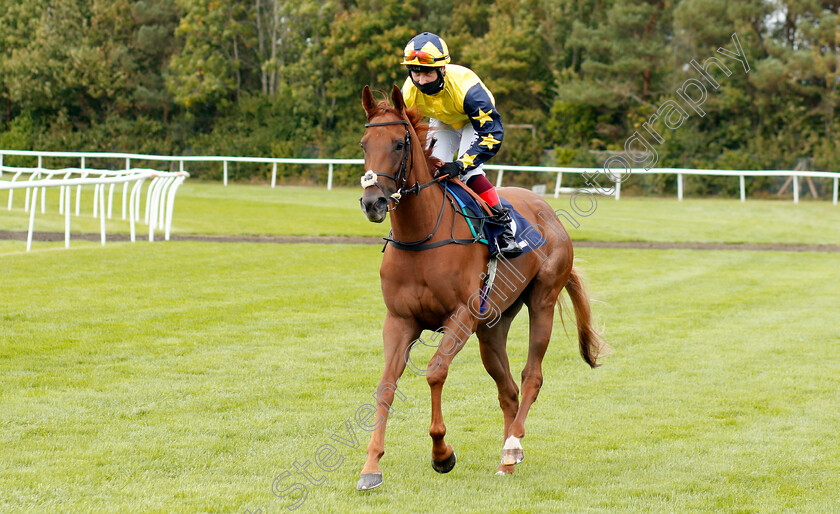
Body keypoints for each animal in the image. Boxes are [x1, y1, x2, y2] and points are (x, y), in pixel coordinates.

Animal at [358, 84, 608, 488]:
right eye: (364, 143)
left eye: (398, 143)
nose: (373, 201)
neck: (421, 236)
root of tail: (547, 211)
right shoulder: (399, 320)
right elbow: (385, 386)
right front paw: (371, 467)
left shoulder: (461, 315)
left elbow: (435, 371)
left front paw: (442, 453)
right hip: (492, 327)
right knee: (508, 390)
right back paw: (508, 459)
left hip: (542, 300)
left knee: (531, 377)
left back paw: (512, 446)